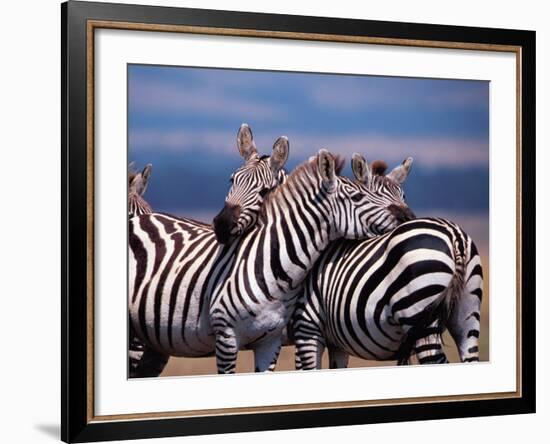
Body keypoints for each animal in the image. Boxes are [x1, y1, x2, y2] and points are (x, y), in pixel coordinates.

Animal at [294, 159, 484, 368]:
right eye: (373, 196)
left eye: (403, 195)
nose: (409, 217)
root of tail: (454, 236)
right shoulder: (335, 341)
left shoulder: (307, 326)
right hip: (468, 311)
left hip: (420, 314)